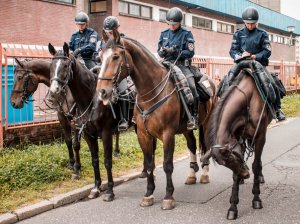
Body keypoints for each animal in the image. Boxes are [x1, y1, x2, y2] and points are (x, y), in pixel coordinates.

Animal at [96, 30, 216, 210]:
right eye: (100, 57)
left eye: (116, 56)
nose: (102, 92)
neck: (151, 91)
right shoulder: (143, 135)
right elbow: (149, 164)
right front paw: (148, 194)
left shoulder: (168, 134)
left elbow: (167, 165)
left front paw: (168, 197)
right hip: (186, 128)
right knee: (192, 145)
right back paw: (191, 175)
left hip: (206, 123)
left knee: (205, 146)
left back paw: (204, 174)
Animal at [205, 60, 274, 220]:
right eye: (227, 163)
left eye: (232, 159)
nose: (245, 175)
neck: (248, 101)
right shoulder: (239, 139)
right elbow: (235, 176)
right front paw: (233, 207)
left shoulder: (260, 136)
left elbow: (256, 165)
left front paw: (256, 199)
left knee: (258, 163)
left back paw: (259, 177)